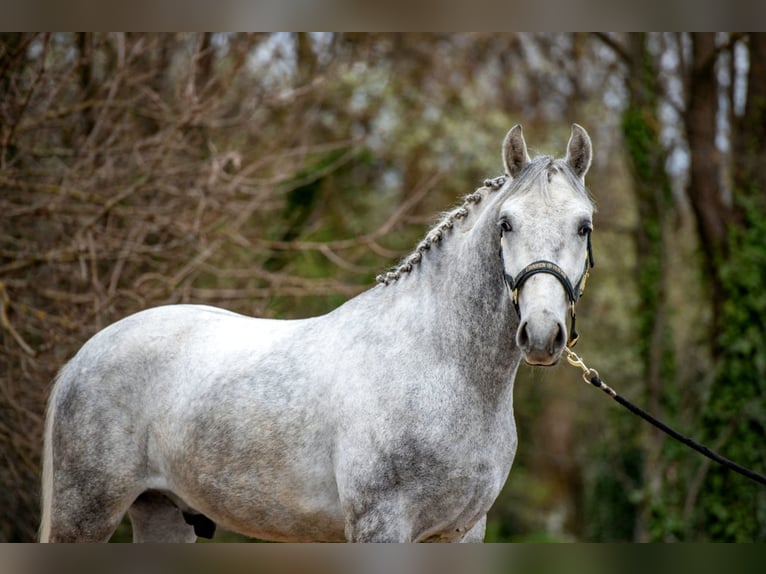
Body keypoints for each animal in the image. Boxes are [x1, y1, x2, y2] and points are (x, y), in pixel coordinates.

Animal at [39, 124, 595, 543]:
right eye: (506, 224)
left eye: (584, 226)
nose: (541, 334)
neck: (444, 366)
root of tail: (85, 355)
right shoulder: (380, 527)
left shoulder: (461, 532)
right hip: (85, 514)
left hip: (162, 512)